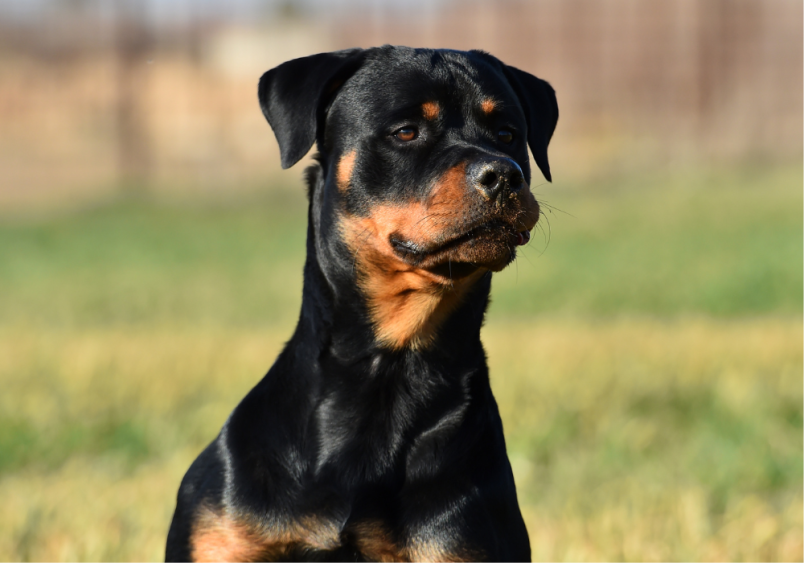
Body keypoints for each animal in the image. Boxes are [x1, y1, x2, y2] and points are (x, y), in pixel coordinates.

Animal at [166, 46, 556, 560]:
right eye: (406, 131)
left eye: (508, 134)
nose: (503, 175)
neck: (388, 368)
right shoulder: (223, 538)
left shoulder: (458, 544)